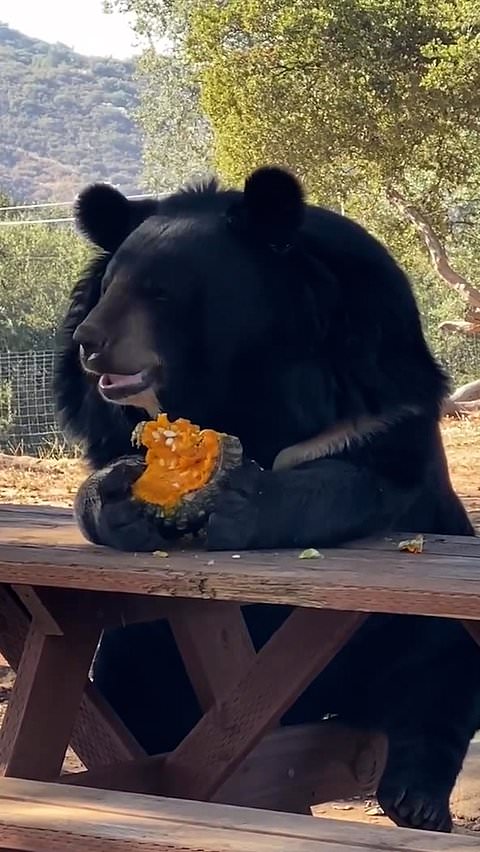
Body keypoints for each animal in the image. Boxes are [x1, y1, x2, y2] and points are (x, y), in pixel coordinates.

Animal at [54, 166, 480, 833]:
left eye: (159, 292)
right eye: (108, 286)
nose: (87, 341)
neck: (239, 380)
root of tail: (315, 704)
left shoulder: (372, 385)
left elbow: (357, 477)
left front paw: (238, 502)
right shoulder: (105, 417)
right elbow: (106, 471)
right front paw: (124, 499)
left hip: (397, 630)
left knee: (439, 664)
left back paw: (417, 799)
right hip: (150, 647)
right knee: (132, 692)